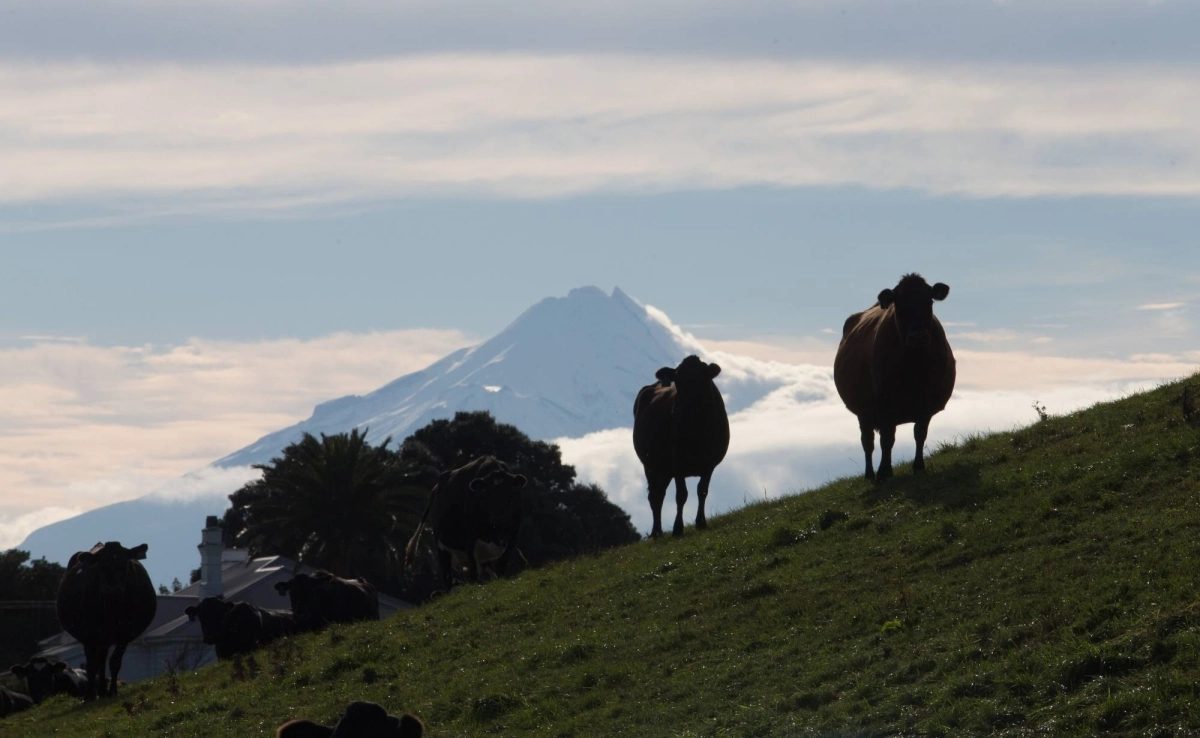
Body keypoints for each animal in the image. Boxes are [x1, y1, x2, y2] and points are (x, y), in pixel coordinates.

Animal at [55, 541, 157, 699]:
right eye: (101, 566)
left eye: (124, 564)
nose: (113, 590)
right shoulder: (89, 634)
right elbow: (91, 665)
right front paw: (89, 696)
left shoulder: (124, 634)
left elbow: (115, 662)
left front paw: (113, 691)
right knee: (99, 661)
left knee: (102, 660)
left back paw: (103, 690)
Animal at [403, 455, 526, 589]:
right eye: (486, 493)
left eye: (511, 491)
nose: (500, 517)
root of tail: (434, 490)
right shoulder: (470, 539)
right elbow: (474, 572)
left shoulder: (514, 534)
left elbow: (502, 565)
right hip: (441, 545)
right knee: (447, 577)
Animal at [633, 355, 730, 538]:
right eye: (677, 380)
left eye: (701, 380)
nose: (677, 409)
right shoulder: (677, 462)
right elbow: (681, 495)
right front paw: (678, 528)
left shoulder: (710, 463)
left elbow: (702, 491)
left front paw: (701, 523)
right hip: (650, 465)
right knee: (655, 496)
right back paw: (656, 532)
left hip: (664, 470)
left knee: (660, 494)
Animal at [833, 273, 956, 482]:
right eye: (899, 304)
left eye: (929, 301)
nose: (918, 336)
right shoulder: (884, 404)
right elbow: (887, 439)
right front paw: (884, 471)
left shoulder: (927, 404)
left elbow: (920, 434)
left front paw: (918, 466)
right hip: (863, 412)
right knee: (868, 442)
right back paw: (870, 475)